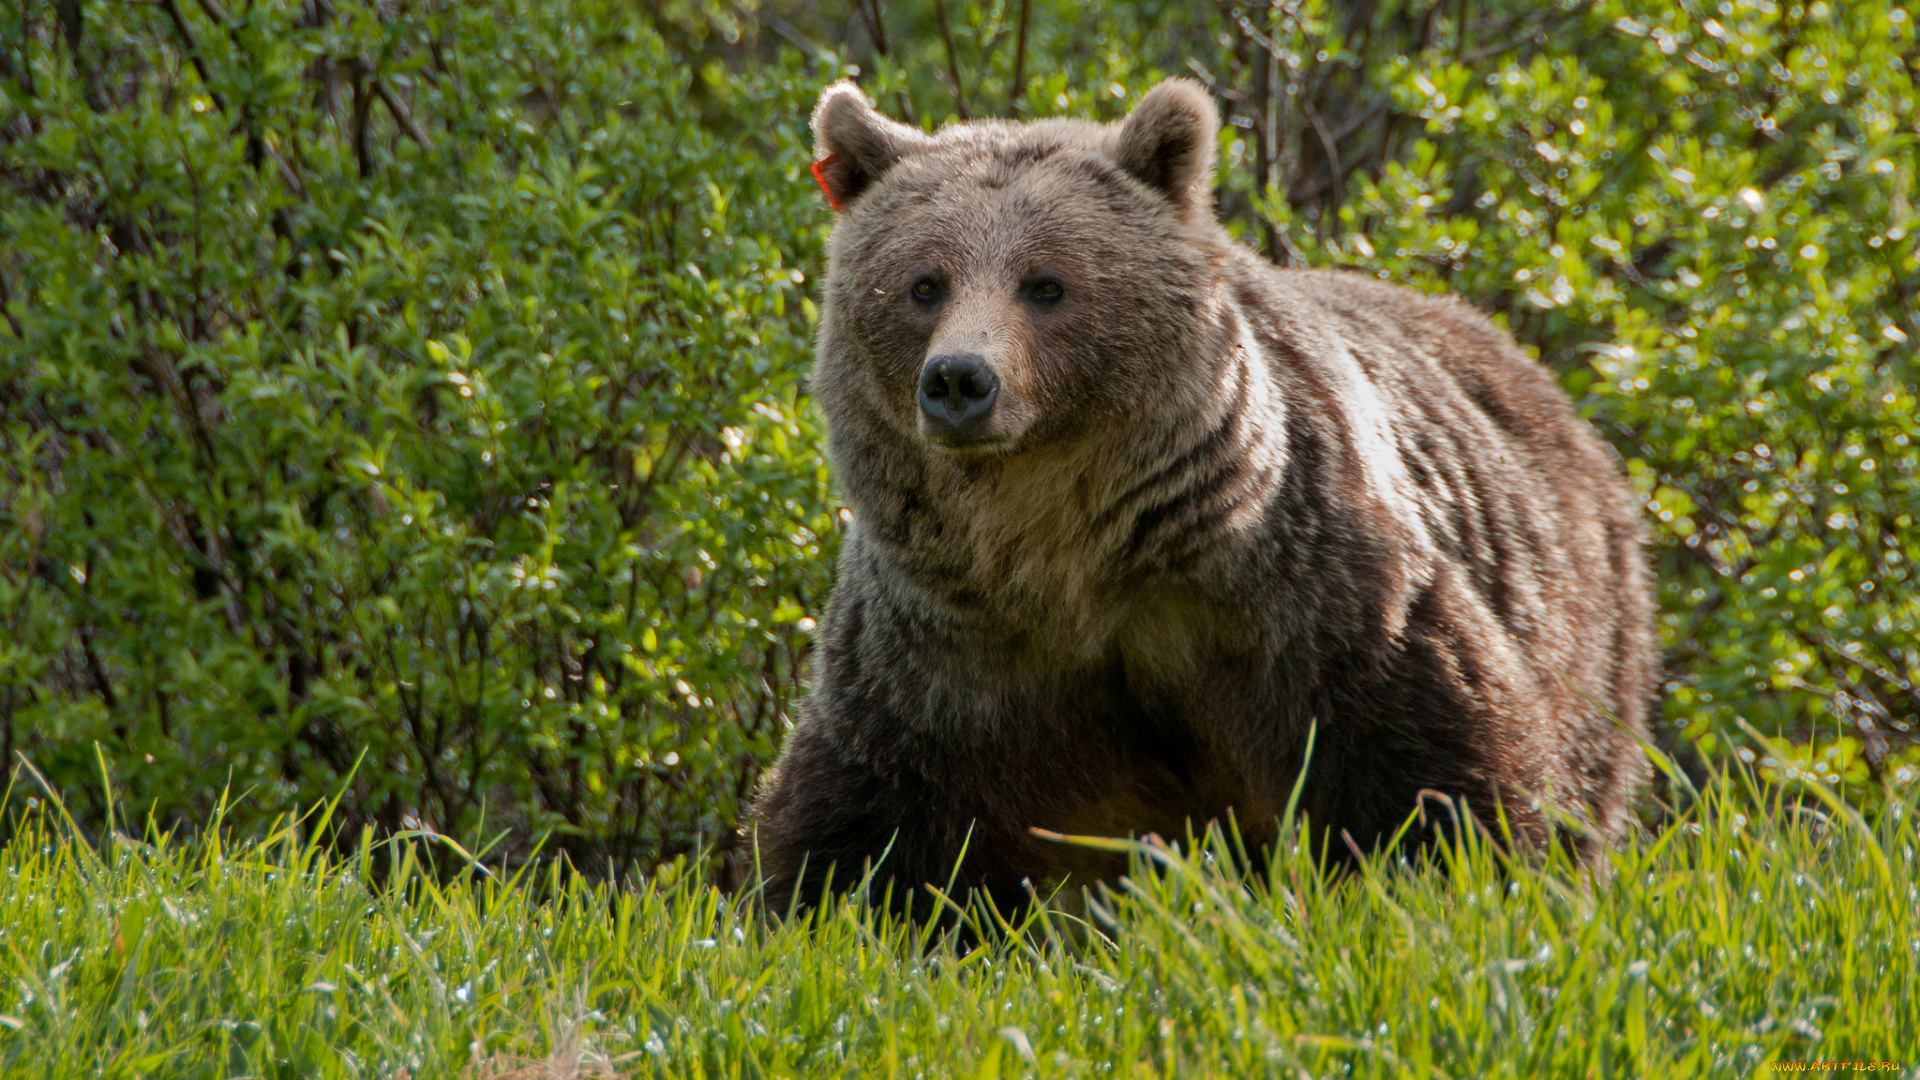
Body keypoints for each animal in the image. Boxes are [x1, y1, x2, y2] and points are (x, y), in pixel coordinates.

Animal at [748, 79, 1651, 910]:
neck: (1066, 553)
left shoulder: (1308, 600)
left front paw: (1457, 878)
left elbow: (1431, 769)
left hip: (1587, 626)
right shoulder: (944, 657)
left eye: (1046, 284)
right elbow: (870, 822)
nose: (960, 380)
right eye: (924, 283)